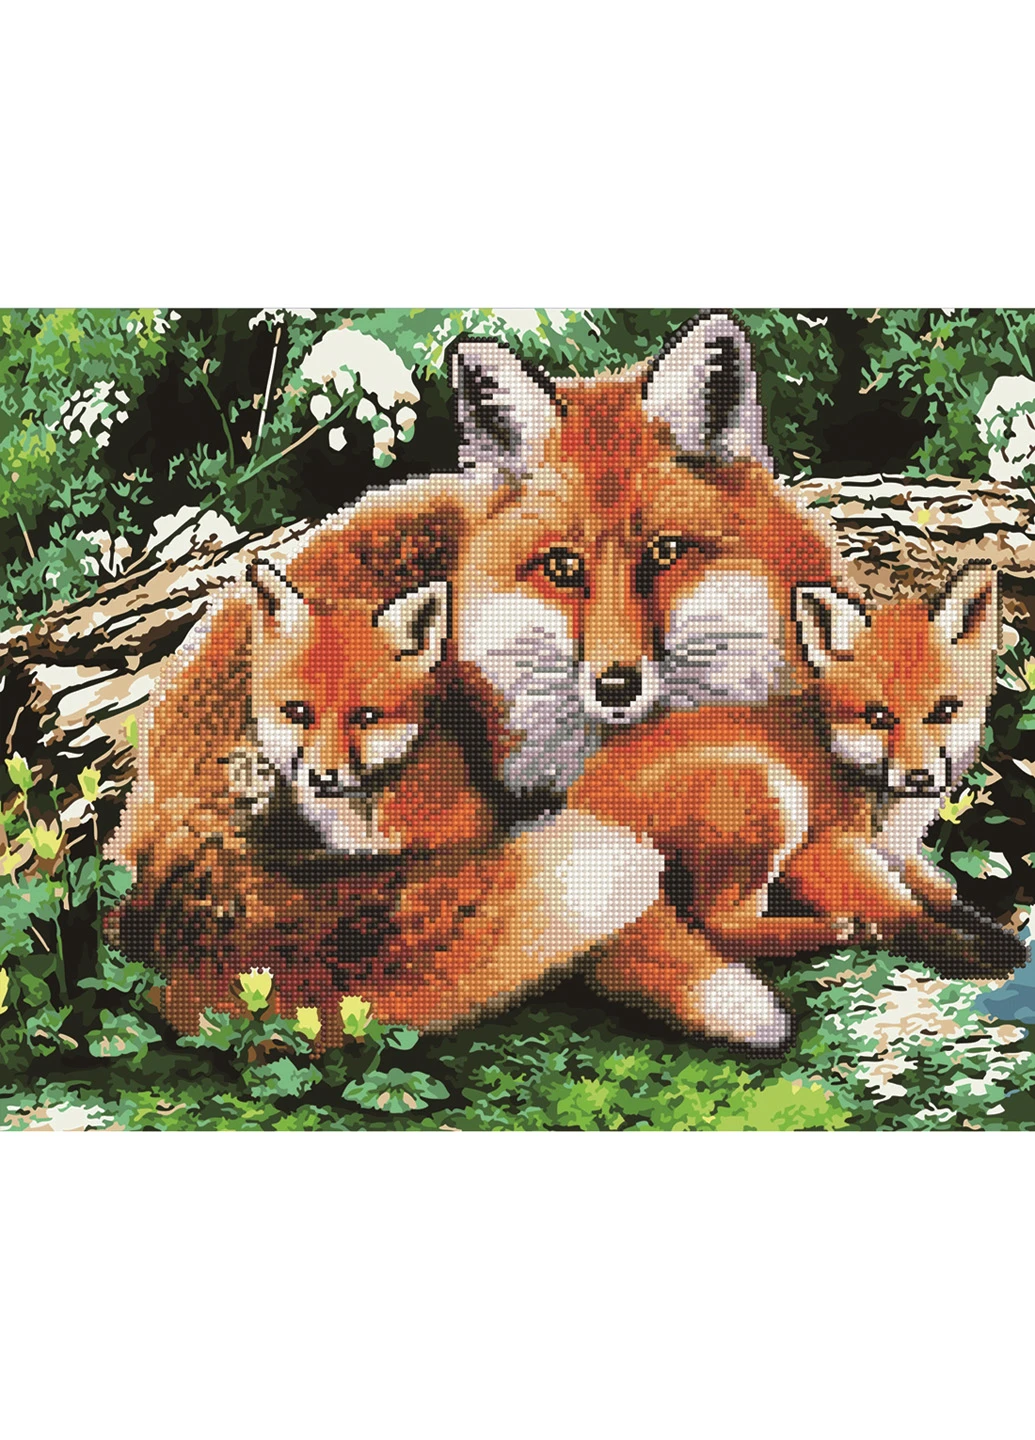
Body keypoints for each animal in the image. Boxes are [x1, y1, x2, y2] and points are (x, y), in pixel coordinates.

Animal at [569, 563, 1028, 1043]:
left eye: (944, 711)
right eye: (879, 716)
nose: (919, 778)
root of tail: (582, 803)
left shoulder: (898, 855)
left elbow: (942, 894)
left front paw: (990, 936)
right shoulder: (820, 850)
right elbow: (904, 913)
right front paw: (968, 954)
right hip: (775, 795)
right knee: (718, 922)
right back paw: (830, 930)